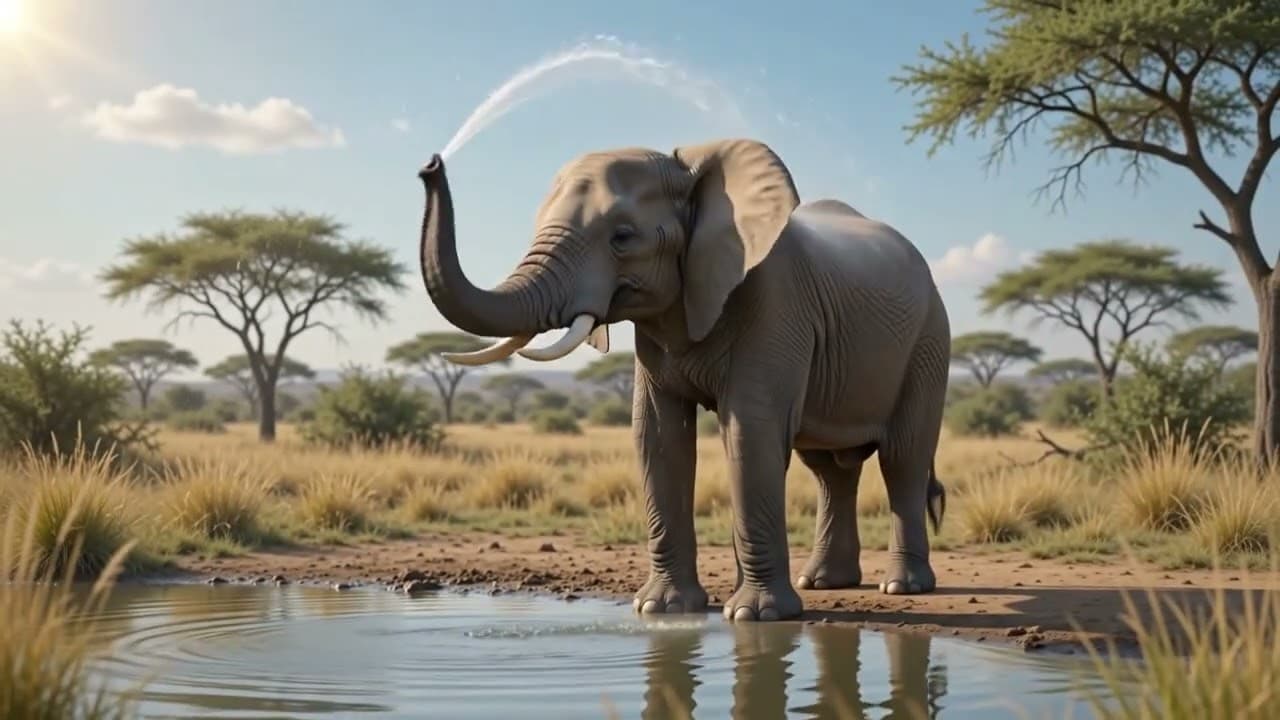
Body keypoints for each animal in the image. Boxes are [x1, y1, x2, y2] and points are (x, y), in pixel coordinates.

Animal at [414, 137, 949, 622]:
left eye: (622, 237)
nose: (430, 164)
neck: (693, 176)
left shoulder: (776, 301)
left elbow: (750, 431)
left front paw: (755, 616)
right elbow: (658, 436)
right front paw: (662, 609)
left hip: (929, 340)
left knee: (902, 457)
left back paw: (901, 587)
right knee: (829, 469)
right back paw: (822, 582)